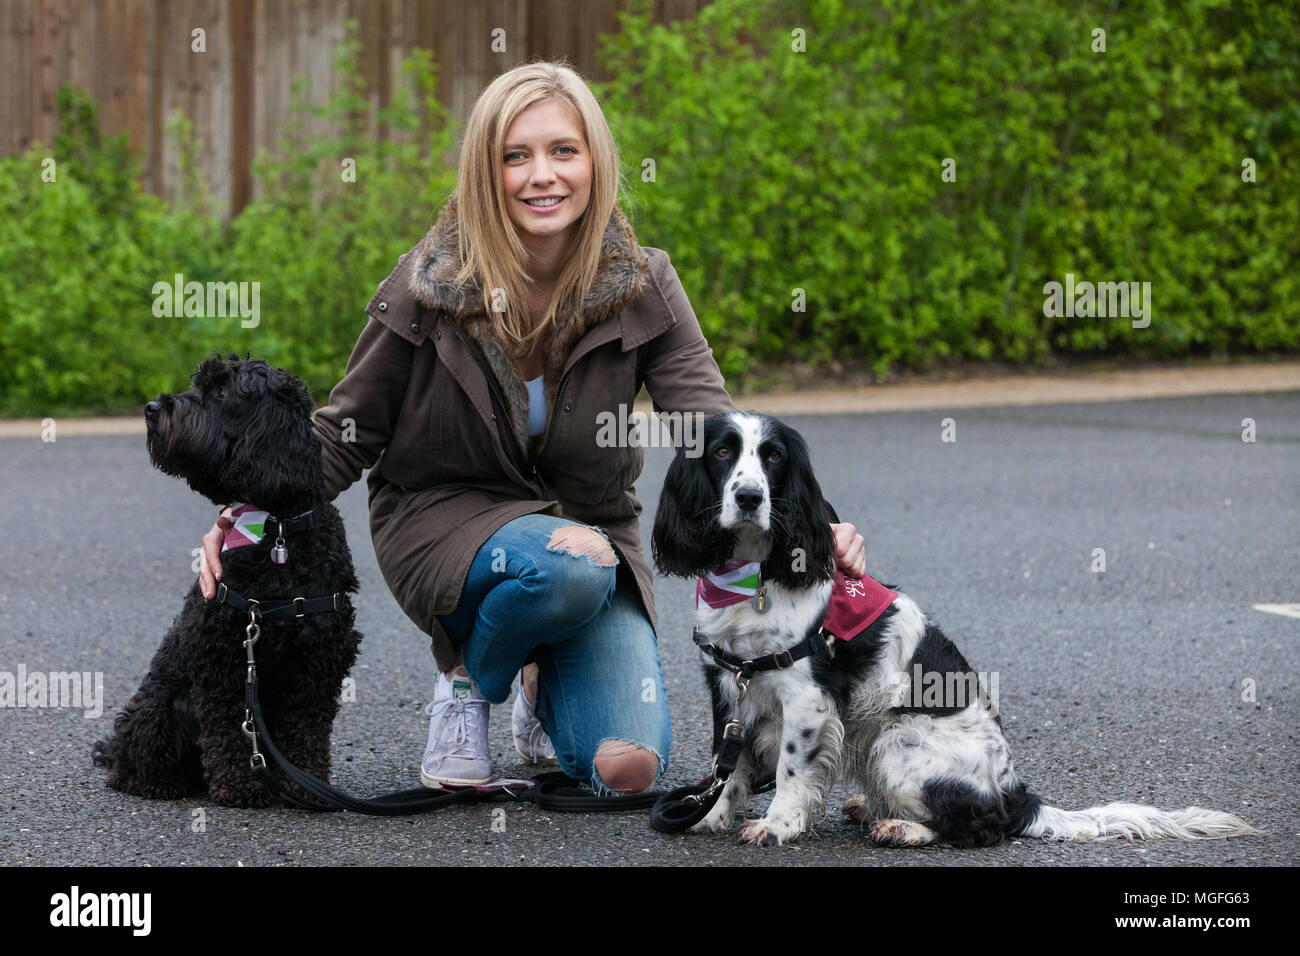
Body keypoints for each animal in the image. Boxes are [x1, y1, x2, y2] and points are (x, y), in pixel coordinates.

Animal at [92, 353, 361, 806]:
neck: (277, 531)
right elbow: (228, 730)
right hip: (159, 706)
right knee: (132, 758)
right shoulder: (221, 658)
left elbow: (307, 730)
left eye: (220, 393)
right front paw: (239, 785)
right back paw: (157, 781)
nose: (151, 407)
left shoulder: (318, 664)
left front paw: (309, 785)